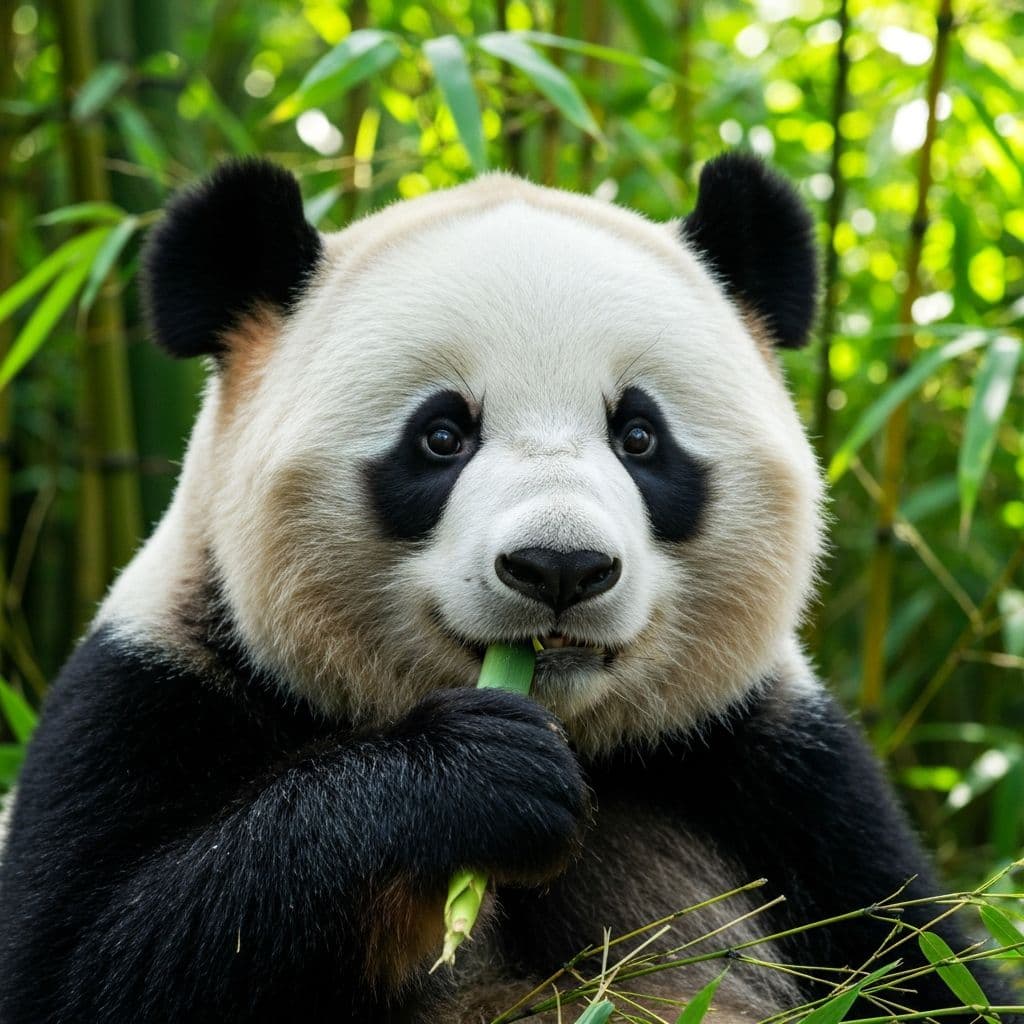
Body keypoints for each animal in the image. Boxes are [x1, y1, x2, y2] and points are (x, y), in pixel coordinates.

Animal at [0, 154, 1014, 1023]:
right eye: (442, 436)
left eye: (639, 436)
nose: (559, 567)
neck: (578, 745)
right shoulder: (152, 694)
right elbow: (89, 963)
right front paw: (473, 780)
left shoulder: (777, 772)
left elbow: (925, 963)